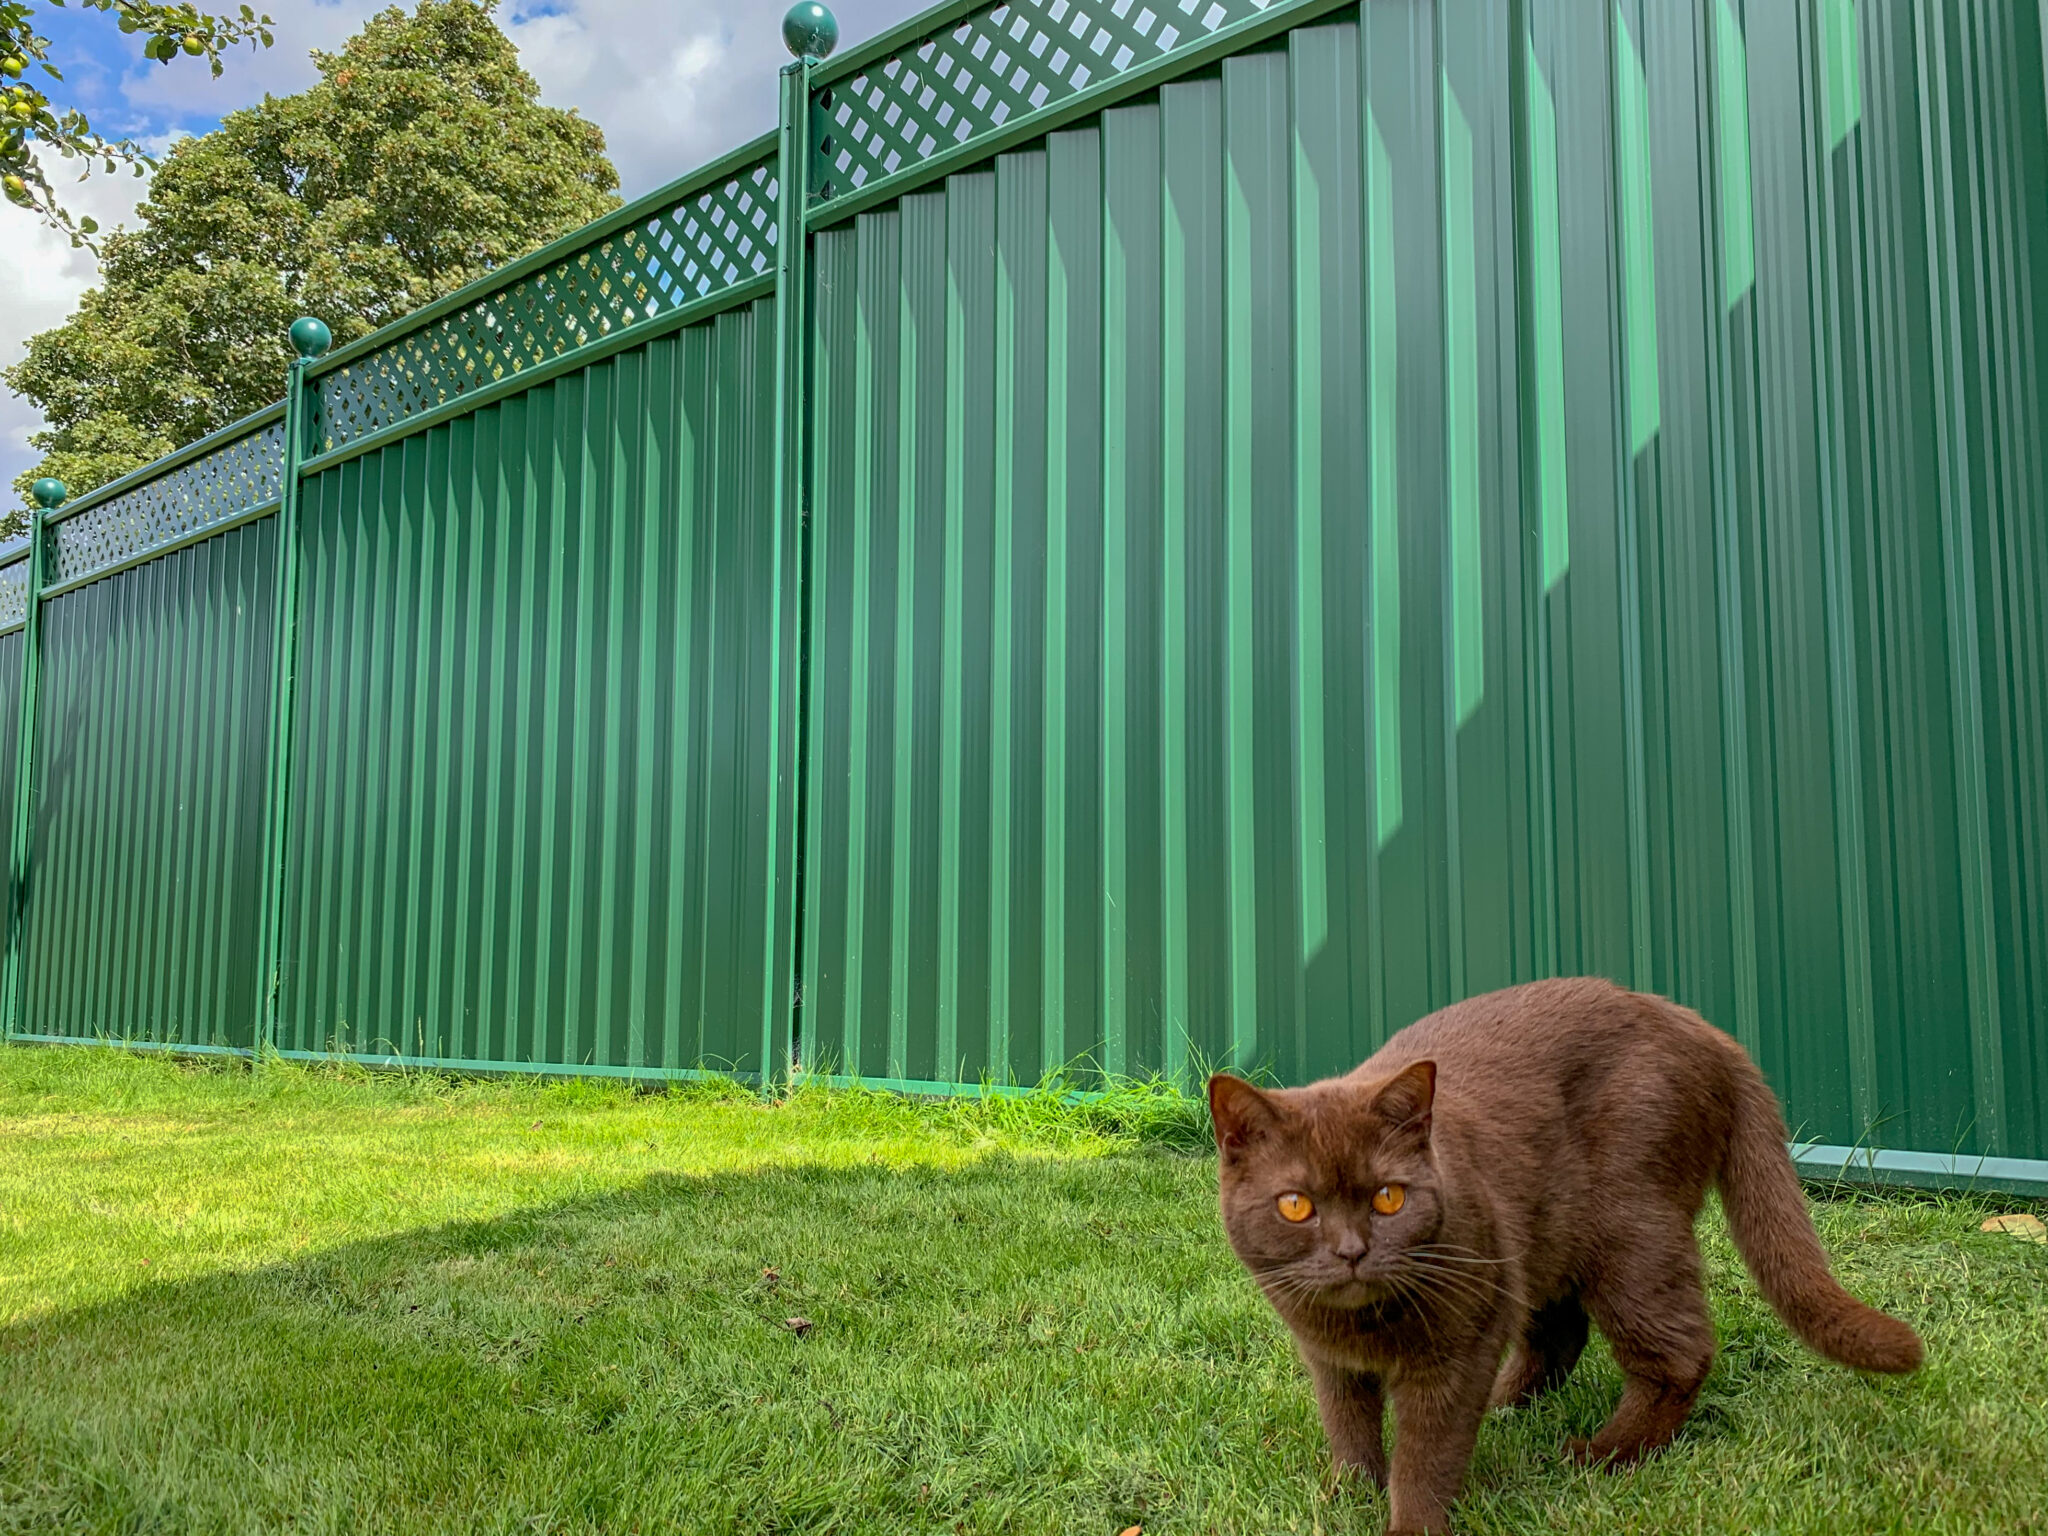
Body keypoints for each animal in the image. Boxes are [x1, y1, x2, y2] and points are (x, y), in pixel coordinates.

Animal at [1196, 978, 1916, 1531]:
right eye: (1296, 1205)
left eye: (1388, 1199)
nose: (1351, 1251)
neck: (1364, 1325)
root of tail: (1700, 1026)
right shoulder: (1330, 1359)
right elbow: (1347, 1428)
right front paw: (1346, 1496)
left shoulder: (1461, 1341)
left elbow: (1426, 1456)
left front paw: (1408, 1522)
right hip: (1549, 1236)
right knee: (1561, 1332)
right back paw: (1507, 1409)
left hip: (1631, 1230)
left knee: (1676, 1354)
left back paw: (1599, 1454)